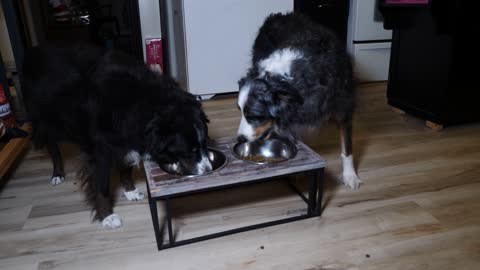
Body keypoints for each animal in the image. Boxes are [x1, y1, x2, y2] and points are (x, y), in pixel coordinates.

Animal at [20, 44, 212, 228]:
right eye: (189, 152)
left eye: (204, 145)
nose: (209, 170)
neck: (141, 100)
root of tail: (32, 53)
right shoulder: (100, 149)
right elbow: (101, 186)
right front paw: (107, 217)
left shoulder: (126, 137)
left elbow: (125, 166)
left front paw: (131, 191)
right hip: (45, 119)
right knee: (53, 147)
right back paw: (57, 174)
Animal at [236, 12, 360, 189]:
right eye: (240, 111)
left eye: (255, 116)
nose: (240, 139)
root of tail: (279, 15)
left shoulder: (343, 106)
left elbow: (347, 146)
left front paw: (350, 176)